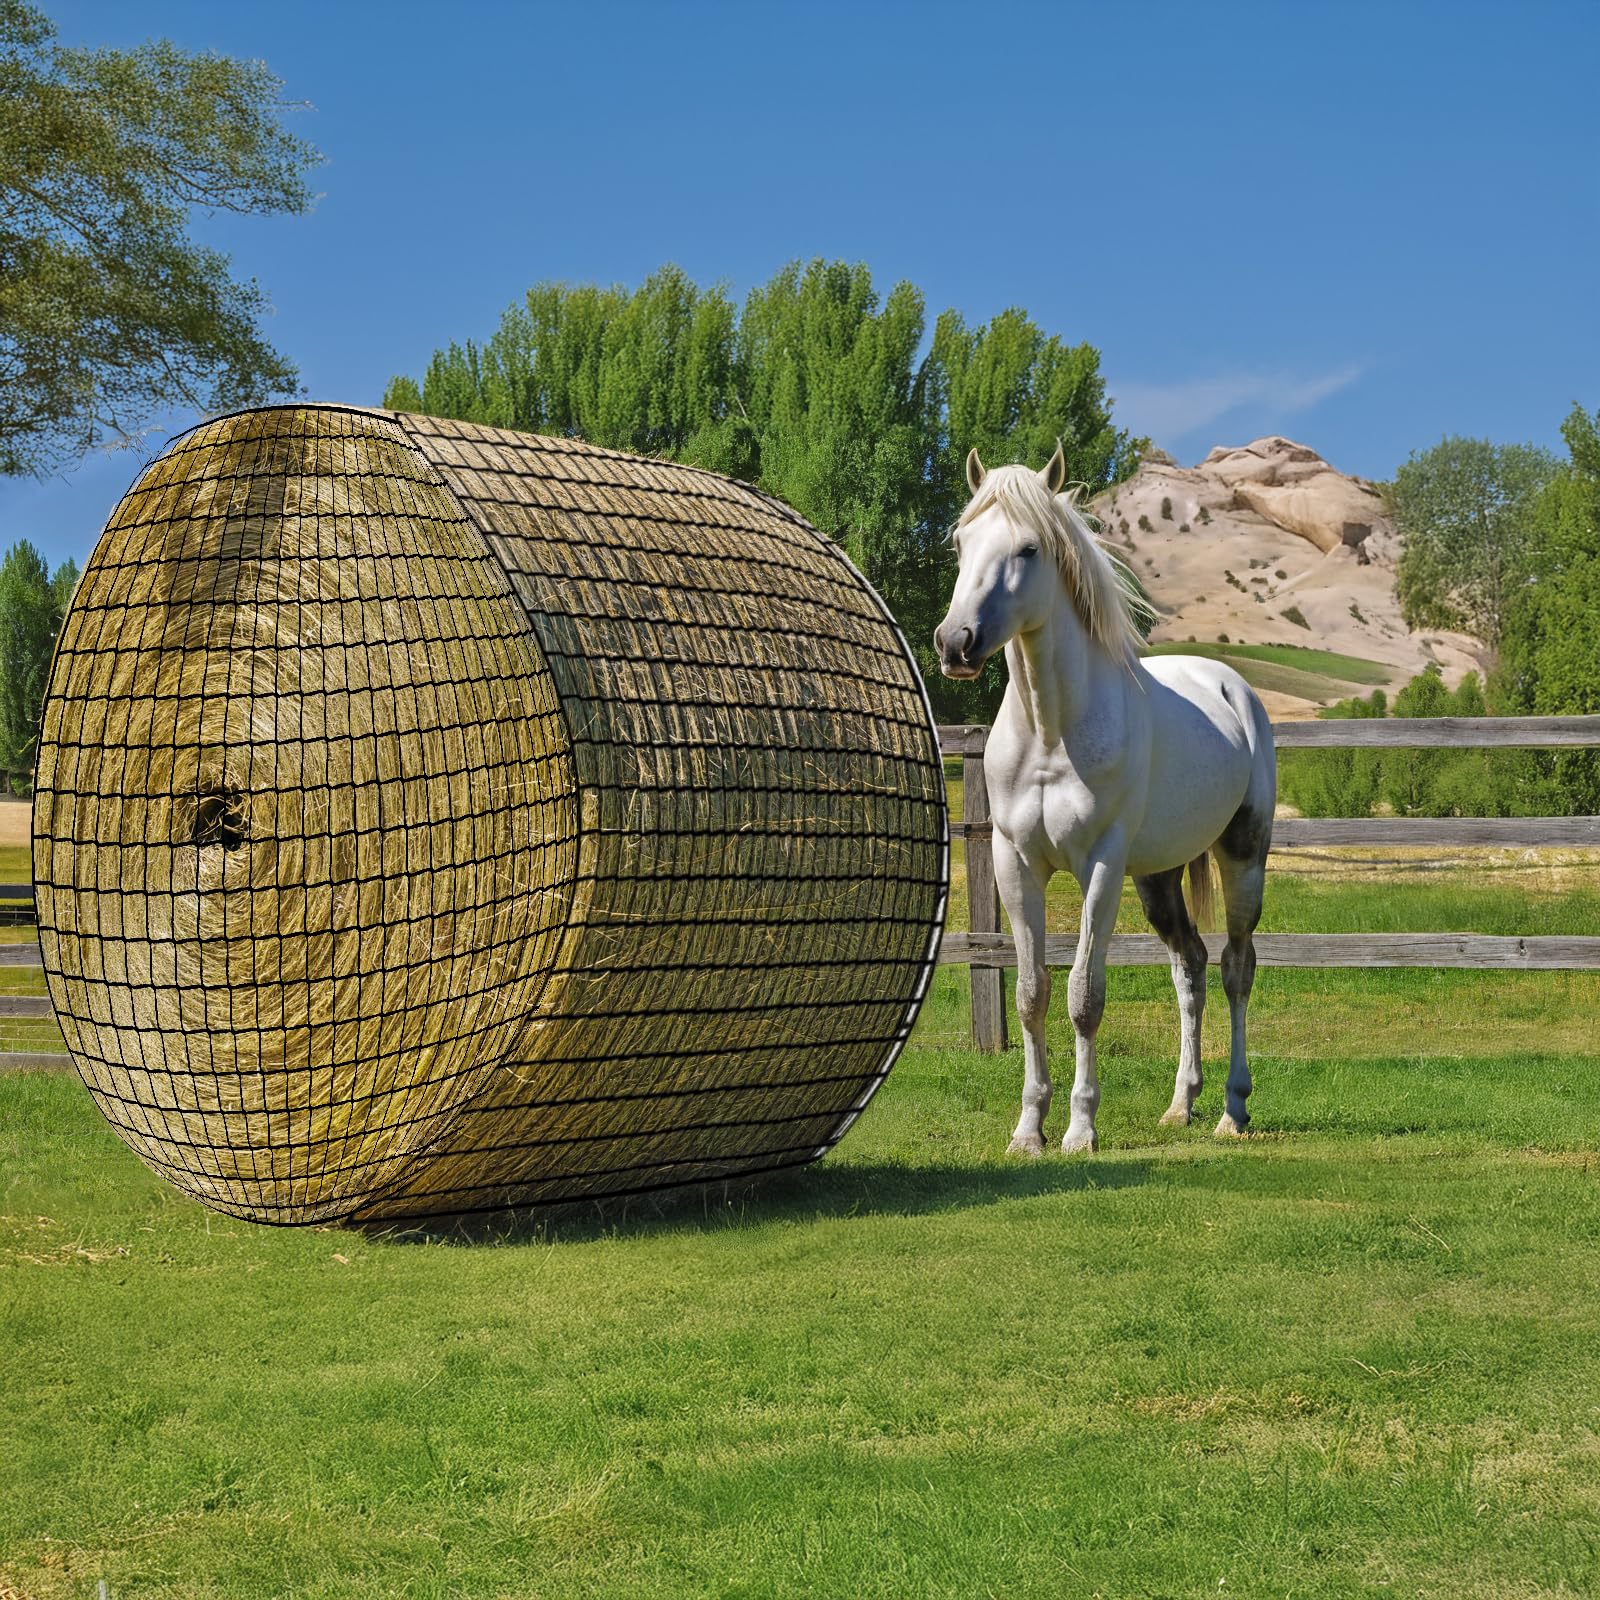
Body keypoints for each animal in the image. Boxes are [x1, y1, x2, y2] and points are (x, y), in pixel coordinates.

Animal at [933, 443, 1277, 1155]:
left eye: (1029, 548)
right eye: (960, 542)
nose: (956, 643)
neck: (1051, 731)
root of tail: (1232, 688)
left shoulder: (1100, 867)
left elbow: (1084, 995)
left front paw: (1080, 1129)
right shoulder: (1015, 864)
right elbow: (1032, 993)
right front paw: (1028, 1130)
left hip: (1242, 858)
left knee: (1235, 968)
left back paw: (1232, 1109)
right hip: (1158, 878)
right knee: (1190, 968)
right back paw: (1181, 1104)